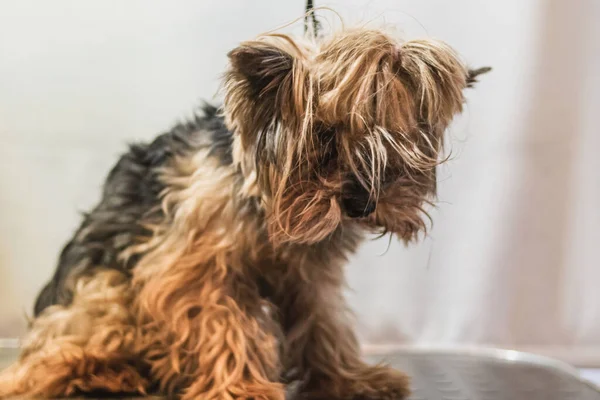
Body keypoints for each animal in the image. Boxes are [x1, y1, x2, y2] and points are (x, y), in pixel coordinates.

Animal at [0, 25, 488, 400]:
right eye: (325, 137)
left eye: (399, 144)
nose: (362, 204)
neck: (268, 203)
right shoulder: (194, 272)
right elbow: (224, 324)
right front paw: (241, 388)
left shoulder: (309, 277)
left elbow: (323, 323)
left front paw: (350, 379)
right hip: (103, 289)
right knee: (44, 368)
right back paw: (104, 373)